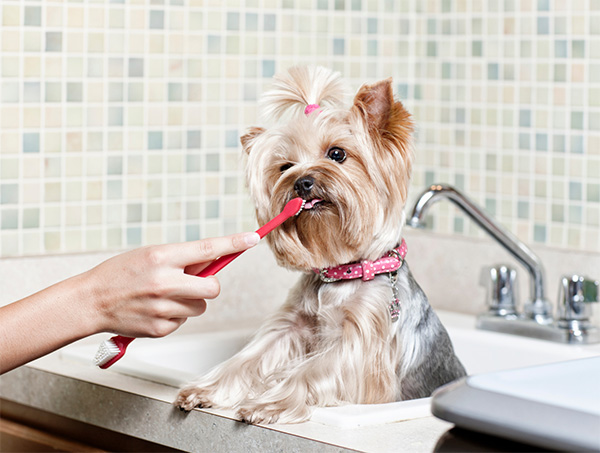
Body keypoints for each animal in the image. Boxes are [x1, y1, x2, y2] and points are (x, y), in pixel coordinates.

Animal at [176, 66, 466, 424]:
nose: (302, 182)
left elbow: (312, 370)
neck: (342, 274)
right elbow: (249, 357)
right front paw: (204, 389)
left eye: (337, 154)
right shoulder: (292, 325)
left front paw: (265, 405)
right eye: (285, 167)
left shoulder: (361, 339)